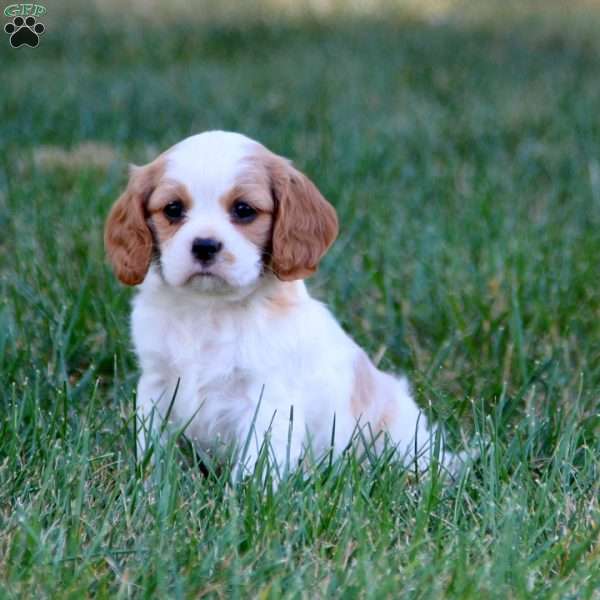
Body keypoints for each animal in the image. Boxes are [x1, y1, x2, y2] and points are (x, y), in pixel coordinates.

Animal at [105, 130, 458, 474]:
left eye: (244, 210)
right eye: (173, 209)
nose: (204, 245)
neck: (209, 309)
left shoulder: (267, 400)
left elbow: (256, 465)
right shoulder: (156, 384)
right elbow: (151, 446)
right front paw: (148, 481)